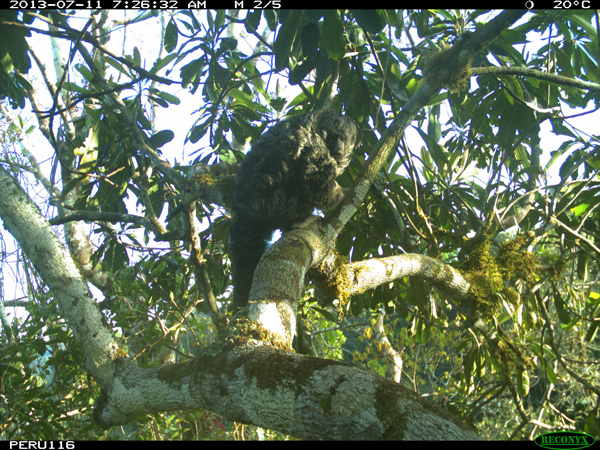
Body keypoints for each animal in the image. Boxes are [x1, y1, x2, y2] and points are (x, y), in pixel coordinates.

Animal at [230, 110, 356, 310]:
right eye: (334, 136)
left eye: (344, 138)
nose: (339, 146)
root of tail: (243, 212)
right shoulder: (315, 145)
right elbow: (314, 179)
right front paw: (340, 194)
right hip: (272, 203)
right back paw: (299, 219)